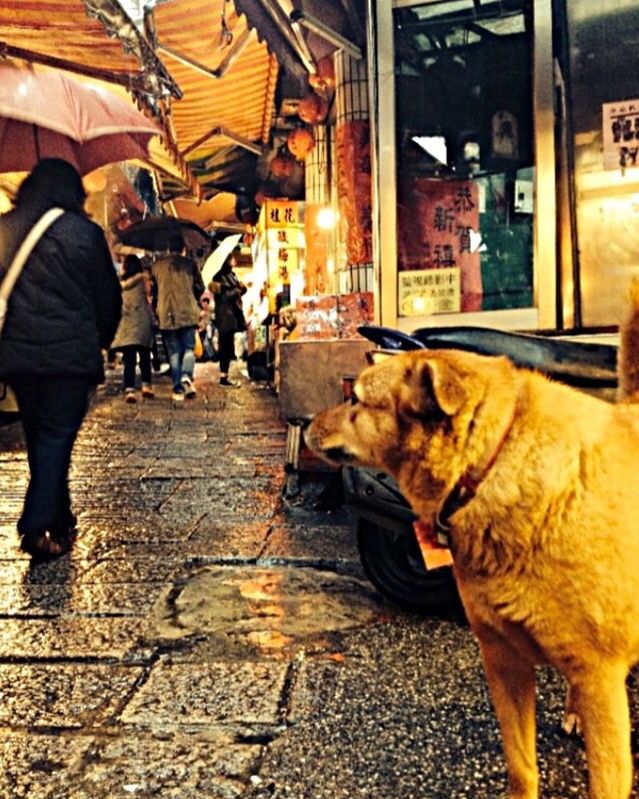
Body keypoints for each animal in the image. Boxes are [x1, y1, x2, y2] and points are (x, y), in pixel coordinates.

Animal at [304, 310, 639, 796]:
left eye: (359, 402)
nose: (308, 422)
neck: (490, 469)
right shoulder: (503, 660)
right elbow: (521, 764)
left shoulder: (599, 678)